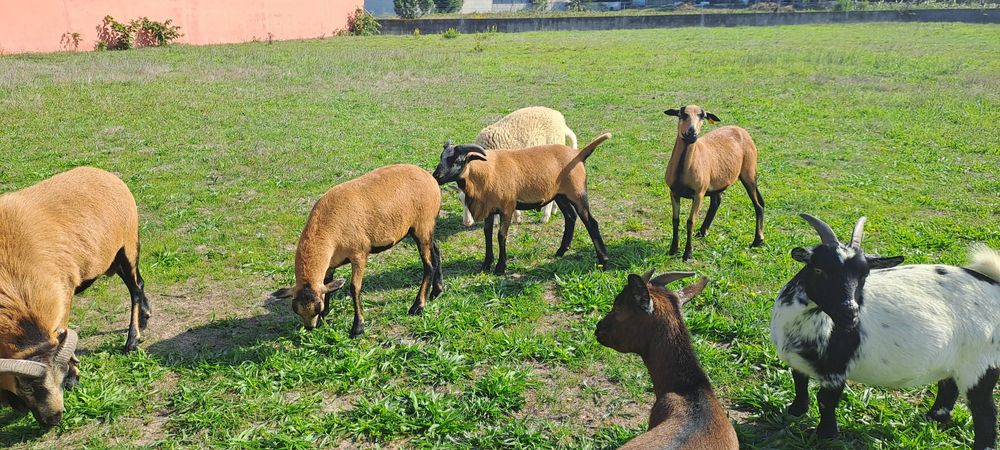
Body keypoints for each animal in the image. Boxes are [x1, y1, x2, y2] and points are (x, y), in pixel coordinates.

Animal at [1, 166, 148, 426]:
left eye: (60, 378)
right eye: (26, 387)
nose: (54, 418)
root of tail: (102, 172)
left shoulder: (63, 292)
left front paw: (73, 377)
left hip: (127, 245)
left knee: (135, 289)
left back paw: (132, 339)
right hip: (112, 257)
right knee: (139, 282)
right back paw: (145, 316)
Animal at [274, 164, 443, 338]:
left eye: (317, 307)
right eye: (296, 309)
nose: (309, 327)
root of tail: (430, 178)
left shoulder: (359, 254)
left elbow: (354, 288)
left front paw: (357, 328)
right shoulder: (330, 264)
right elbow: (328, 285)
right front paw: (324, 317)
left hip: (422, 225)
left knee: (428, 265)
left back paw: (418, 306)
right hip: (425, 229)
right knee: (436, 254)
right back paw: (437, 292)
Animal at [432, 133, 611, 274]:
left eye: (458, 159)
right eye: (441, 157)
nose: (436, 176)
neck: (486, 173)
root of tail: (577, 154)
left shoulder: (507, 207)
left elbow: (501, 235)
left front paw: (500, 267)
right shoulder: (489, 210)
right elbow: (487, 234)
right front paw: (486, 264)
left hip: (578, 193)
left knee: (591, 222)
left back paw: (603, 261)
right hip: (560, 195)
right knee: (570, 217)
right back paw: (560, 252)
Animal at [663, 105, 764, 261]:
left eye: (702, 116)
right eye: (682, 114)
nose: (692, 134)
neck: (682, 170)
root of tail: (740, 129)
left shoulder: (699, 193)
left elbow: (690, 221)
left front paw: (688, 254)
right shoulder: (673, 191)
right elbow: (675, 219)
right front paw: (673, 249)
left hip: (748, 171)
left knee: (758, 205)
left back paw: (757, 241)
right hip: (718, 181)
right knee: (716, 202)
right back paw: (702, 232)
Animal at [771, 214, 1000, 450]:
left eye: (865, 274)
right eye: (818, 269)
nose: (850, 314)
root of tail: (995, 287)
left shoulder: (837, 368)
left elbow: (826, 401)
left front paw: (826, 436)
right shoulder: (798, 361)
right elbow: (799, 382)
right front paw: (795, 412)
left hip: (980, 365)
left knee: (985, 413)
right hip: (955, 360)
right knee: (949, 386)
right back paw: (933, 418)